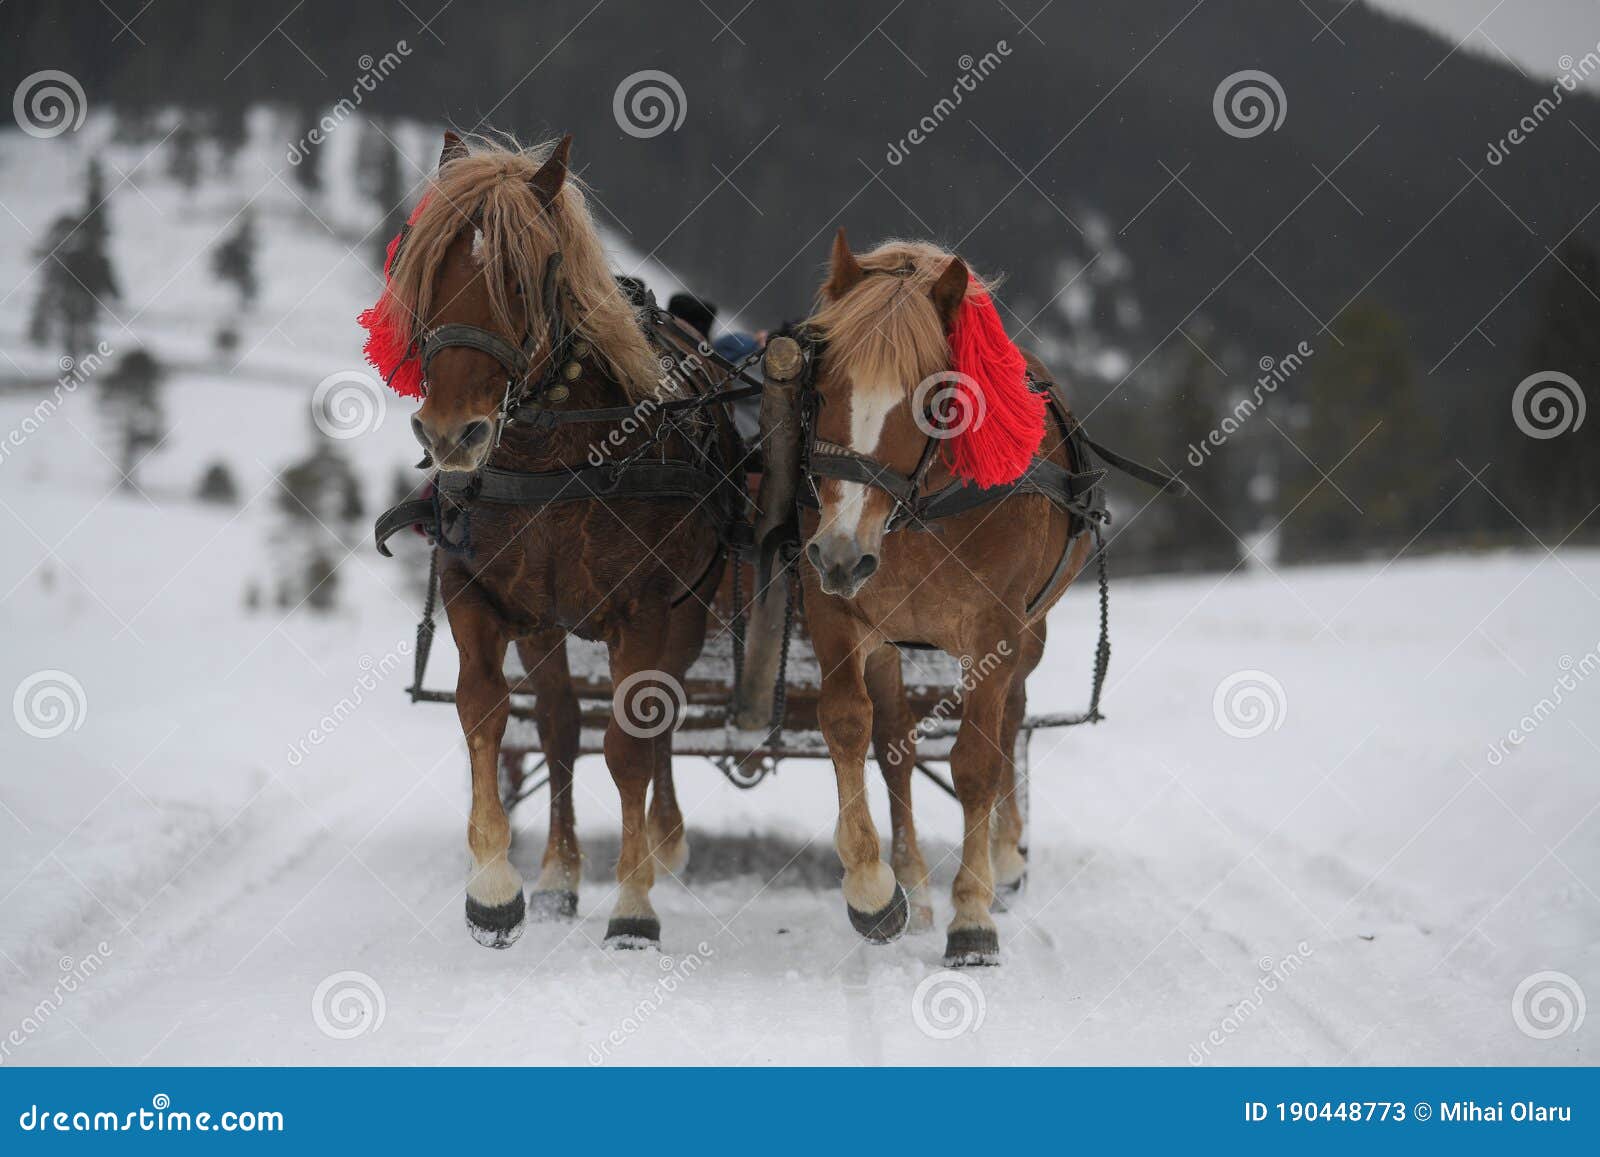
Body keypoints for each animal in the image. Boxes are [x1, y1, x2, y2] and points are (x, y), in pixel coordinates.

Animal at [373, 133, 742, 949]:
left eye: (515, 277)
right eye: (429, 267)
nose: (451, 435)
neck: (552, 458)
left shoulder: (646, 610)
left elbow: (631, 746)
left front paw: (634, 904)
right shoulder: (477, 593)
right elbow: (486, 714)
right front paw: (495, 888)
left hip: (688, 611)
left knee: (658, 720)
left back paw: (664, 842)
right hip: (545, 625)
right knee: (561, 726)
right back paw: (559, 875)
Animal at [792, 231, 1099, 966]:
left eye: (932, 402)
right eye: (823, 384)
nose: (841, 552)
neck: (920, 506)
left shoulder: (994, 629)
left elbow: (977, 764)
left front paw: (973, 916)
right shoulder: (836, 610)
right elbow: (849, 726)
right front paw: (873, 889)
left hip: (1029, 629)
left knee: (1011, 718)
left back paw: (1003, 860)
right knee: (897, 747)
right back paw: (912, 881)